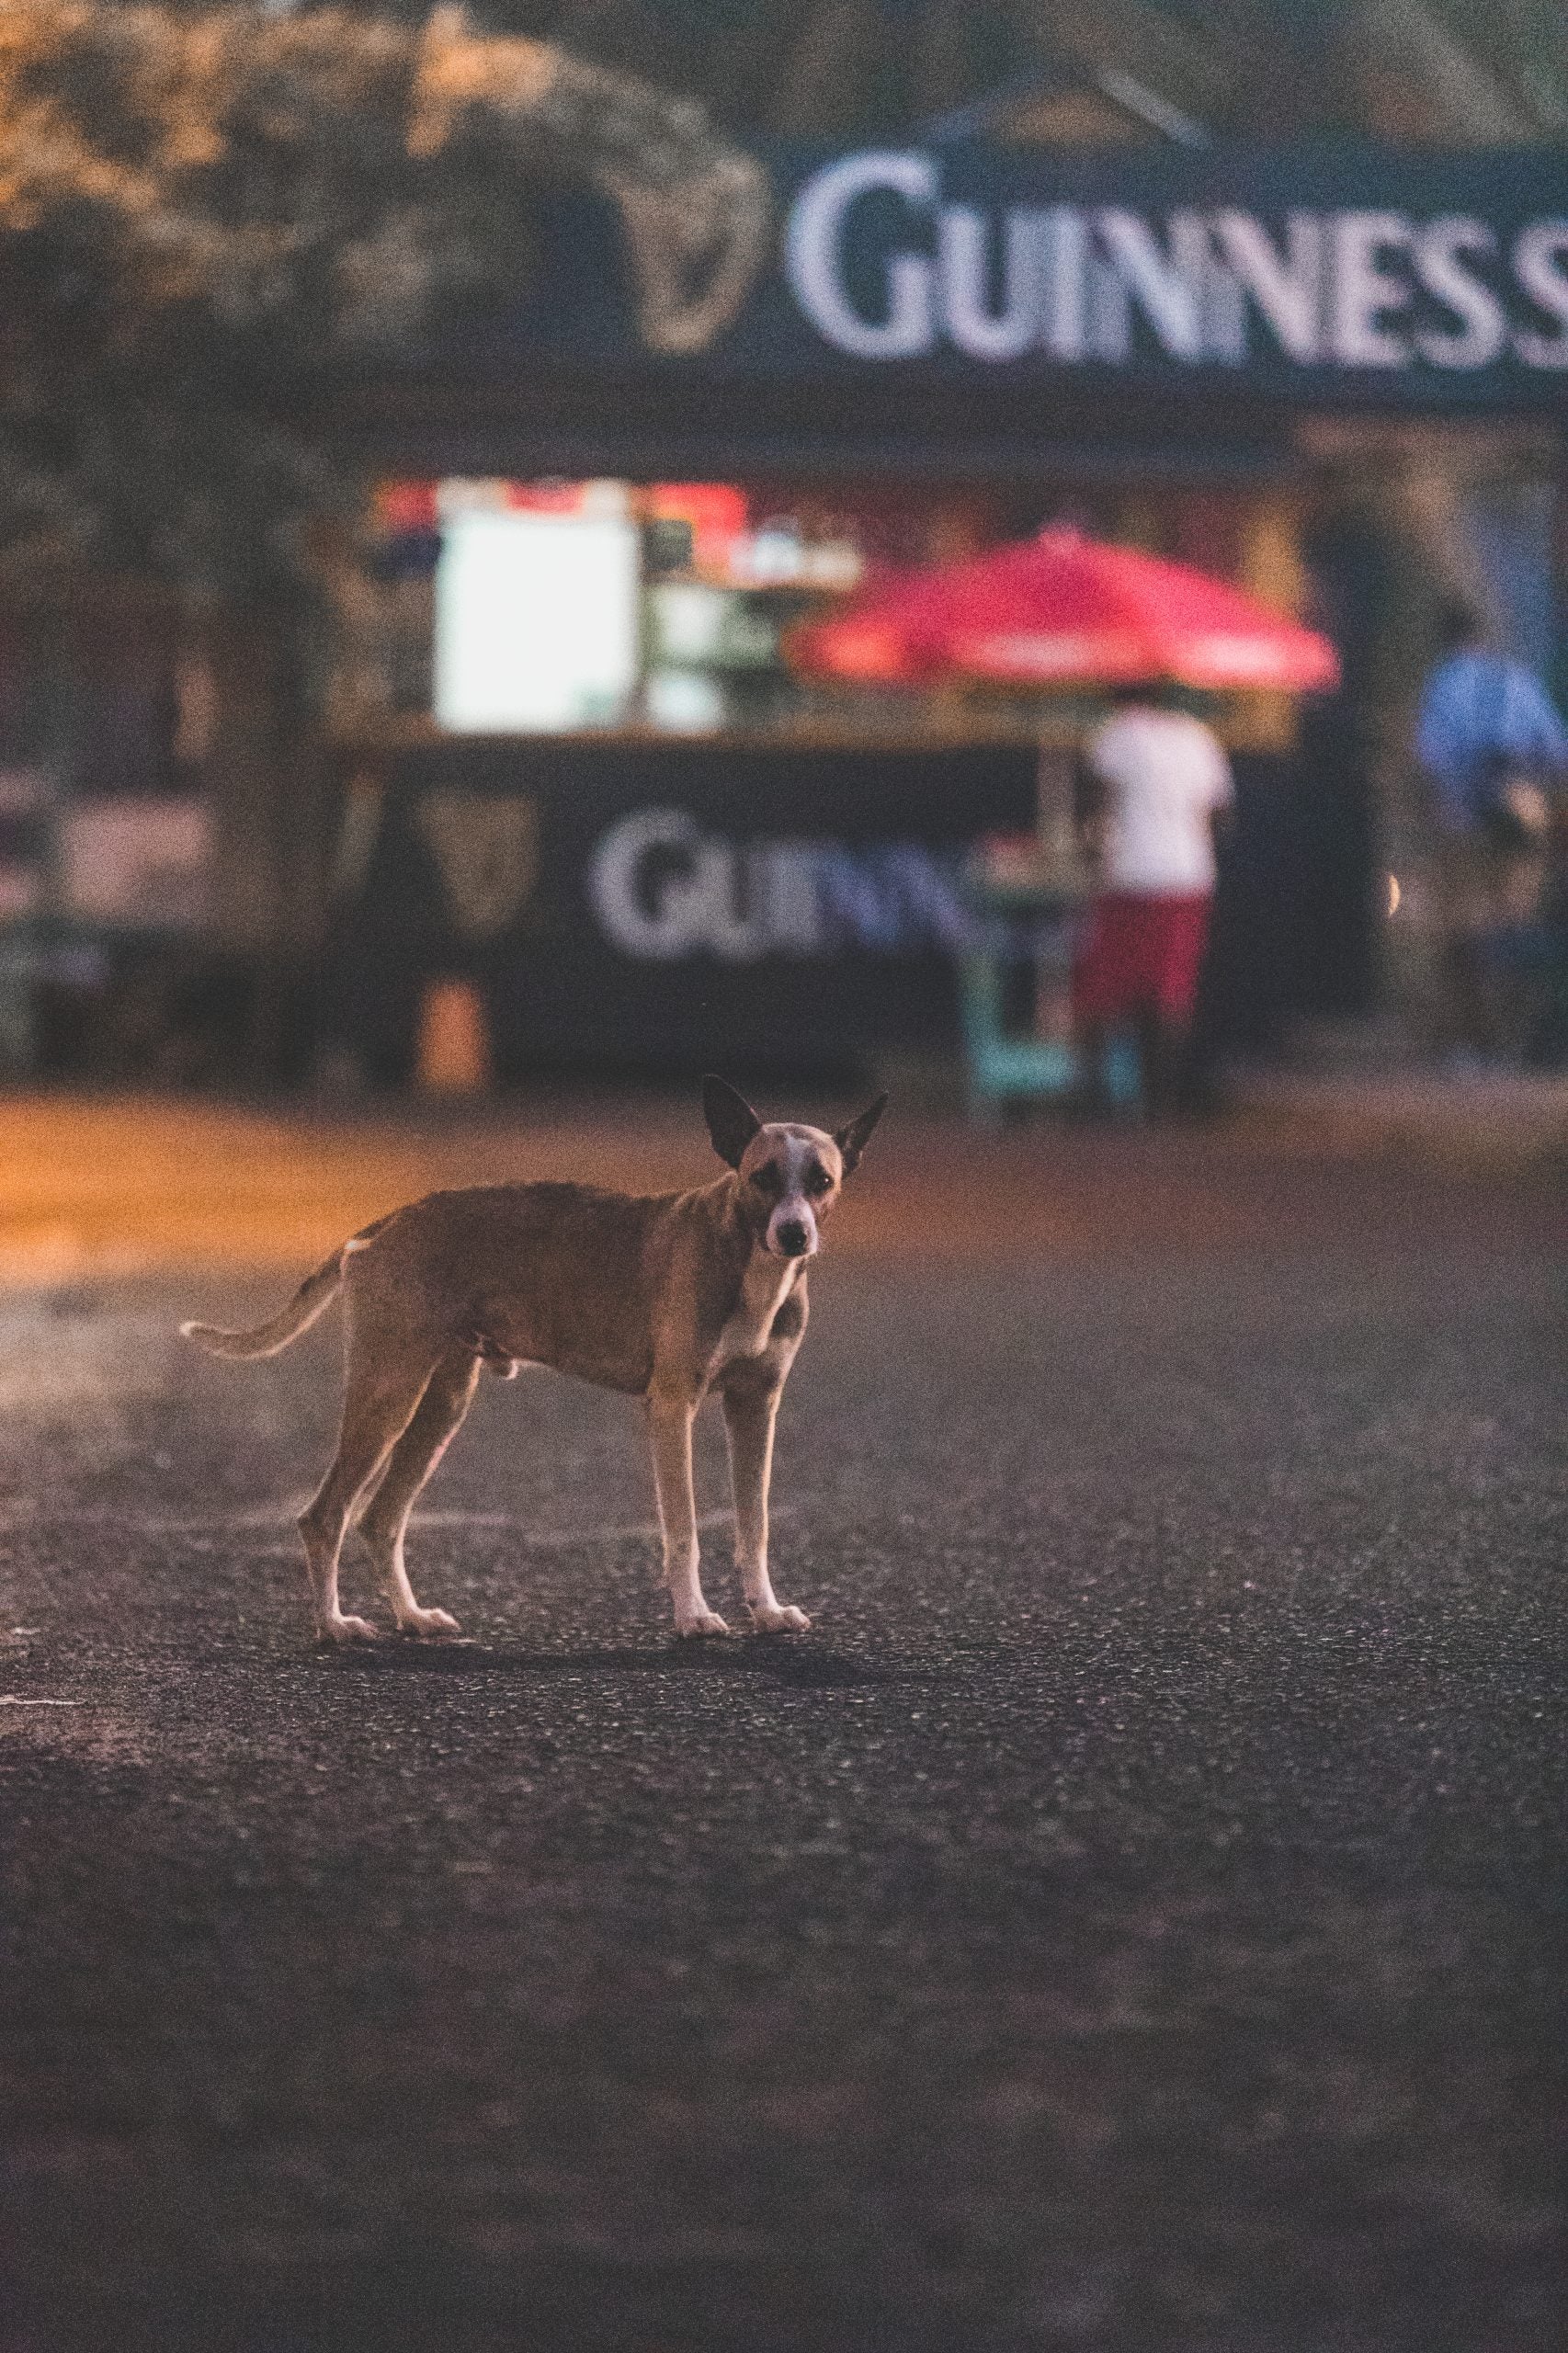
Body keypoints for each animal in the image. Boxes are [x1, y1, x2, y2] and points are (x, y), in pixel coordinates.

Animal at [183, 1077, 881, 1647]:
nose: (795, 1234)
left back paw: (411, 1617)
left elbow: (754, 1524)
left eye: (822, 1182)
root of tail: (380, 1226)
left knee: (379, 1519)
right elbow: (683, 1529)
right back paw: (333, 1625)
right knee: (323, 1516)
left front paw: (767, 1612)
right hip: (388, 1394)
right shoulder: (671, 1408)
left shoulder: (756, 1406)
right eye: (763, 1177)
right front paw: (693, 1617)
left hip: (440, 1406)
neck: (747, 1259)